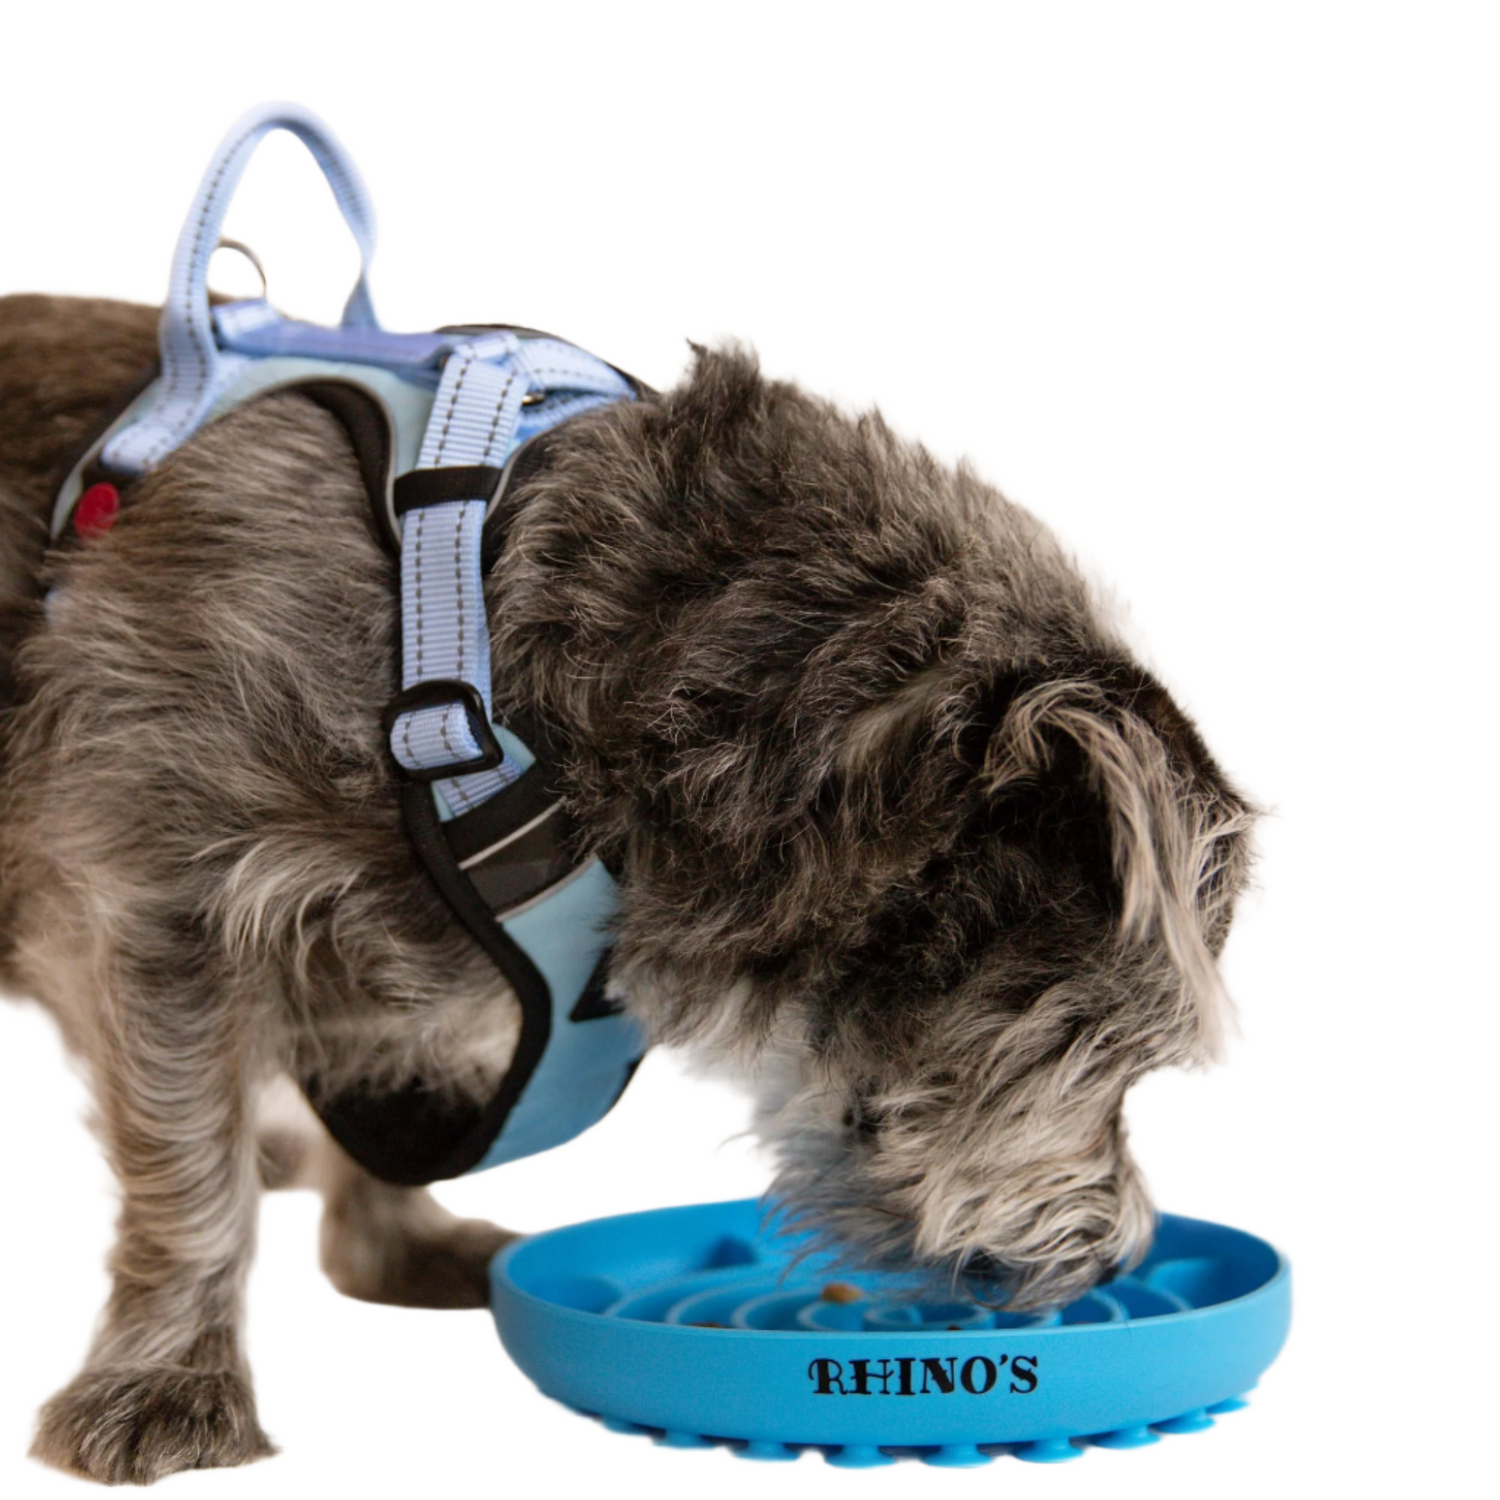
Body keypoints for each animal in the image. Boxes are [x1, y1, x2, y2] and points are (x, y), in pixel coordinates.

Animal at [0, 286, 1254, 1482]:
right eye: (1115, 1051)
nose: (1121, 1253)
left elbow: (391, 1089)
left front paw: (395, 1243)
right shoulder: (169, 901)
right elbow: (191, 1175)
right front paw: (165, 1387)